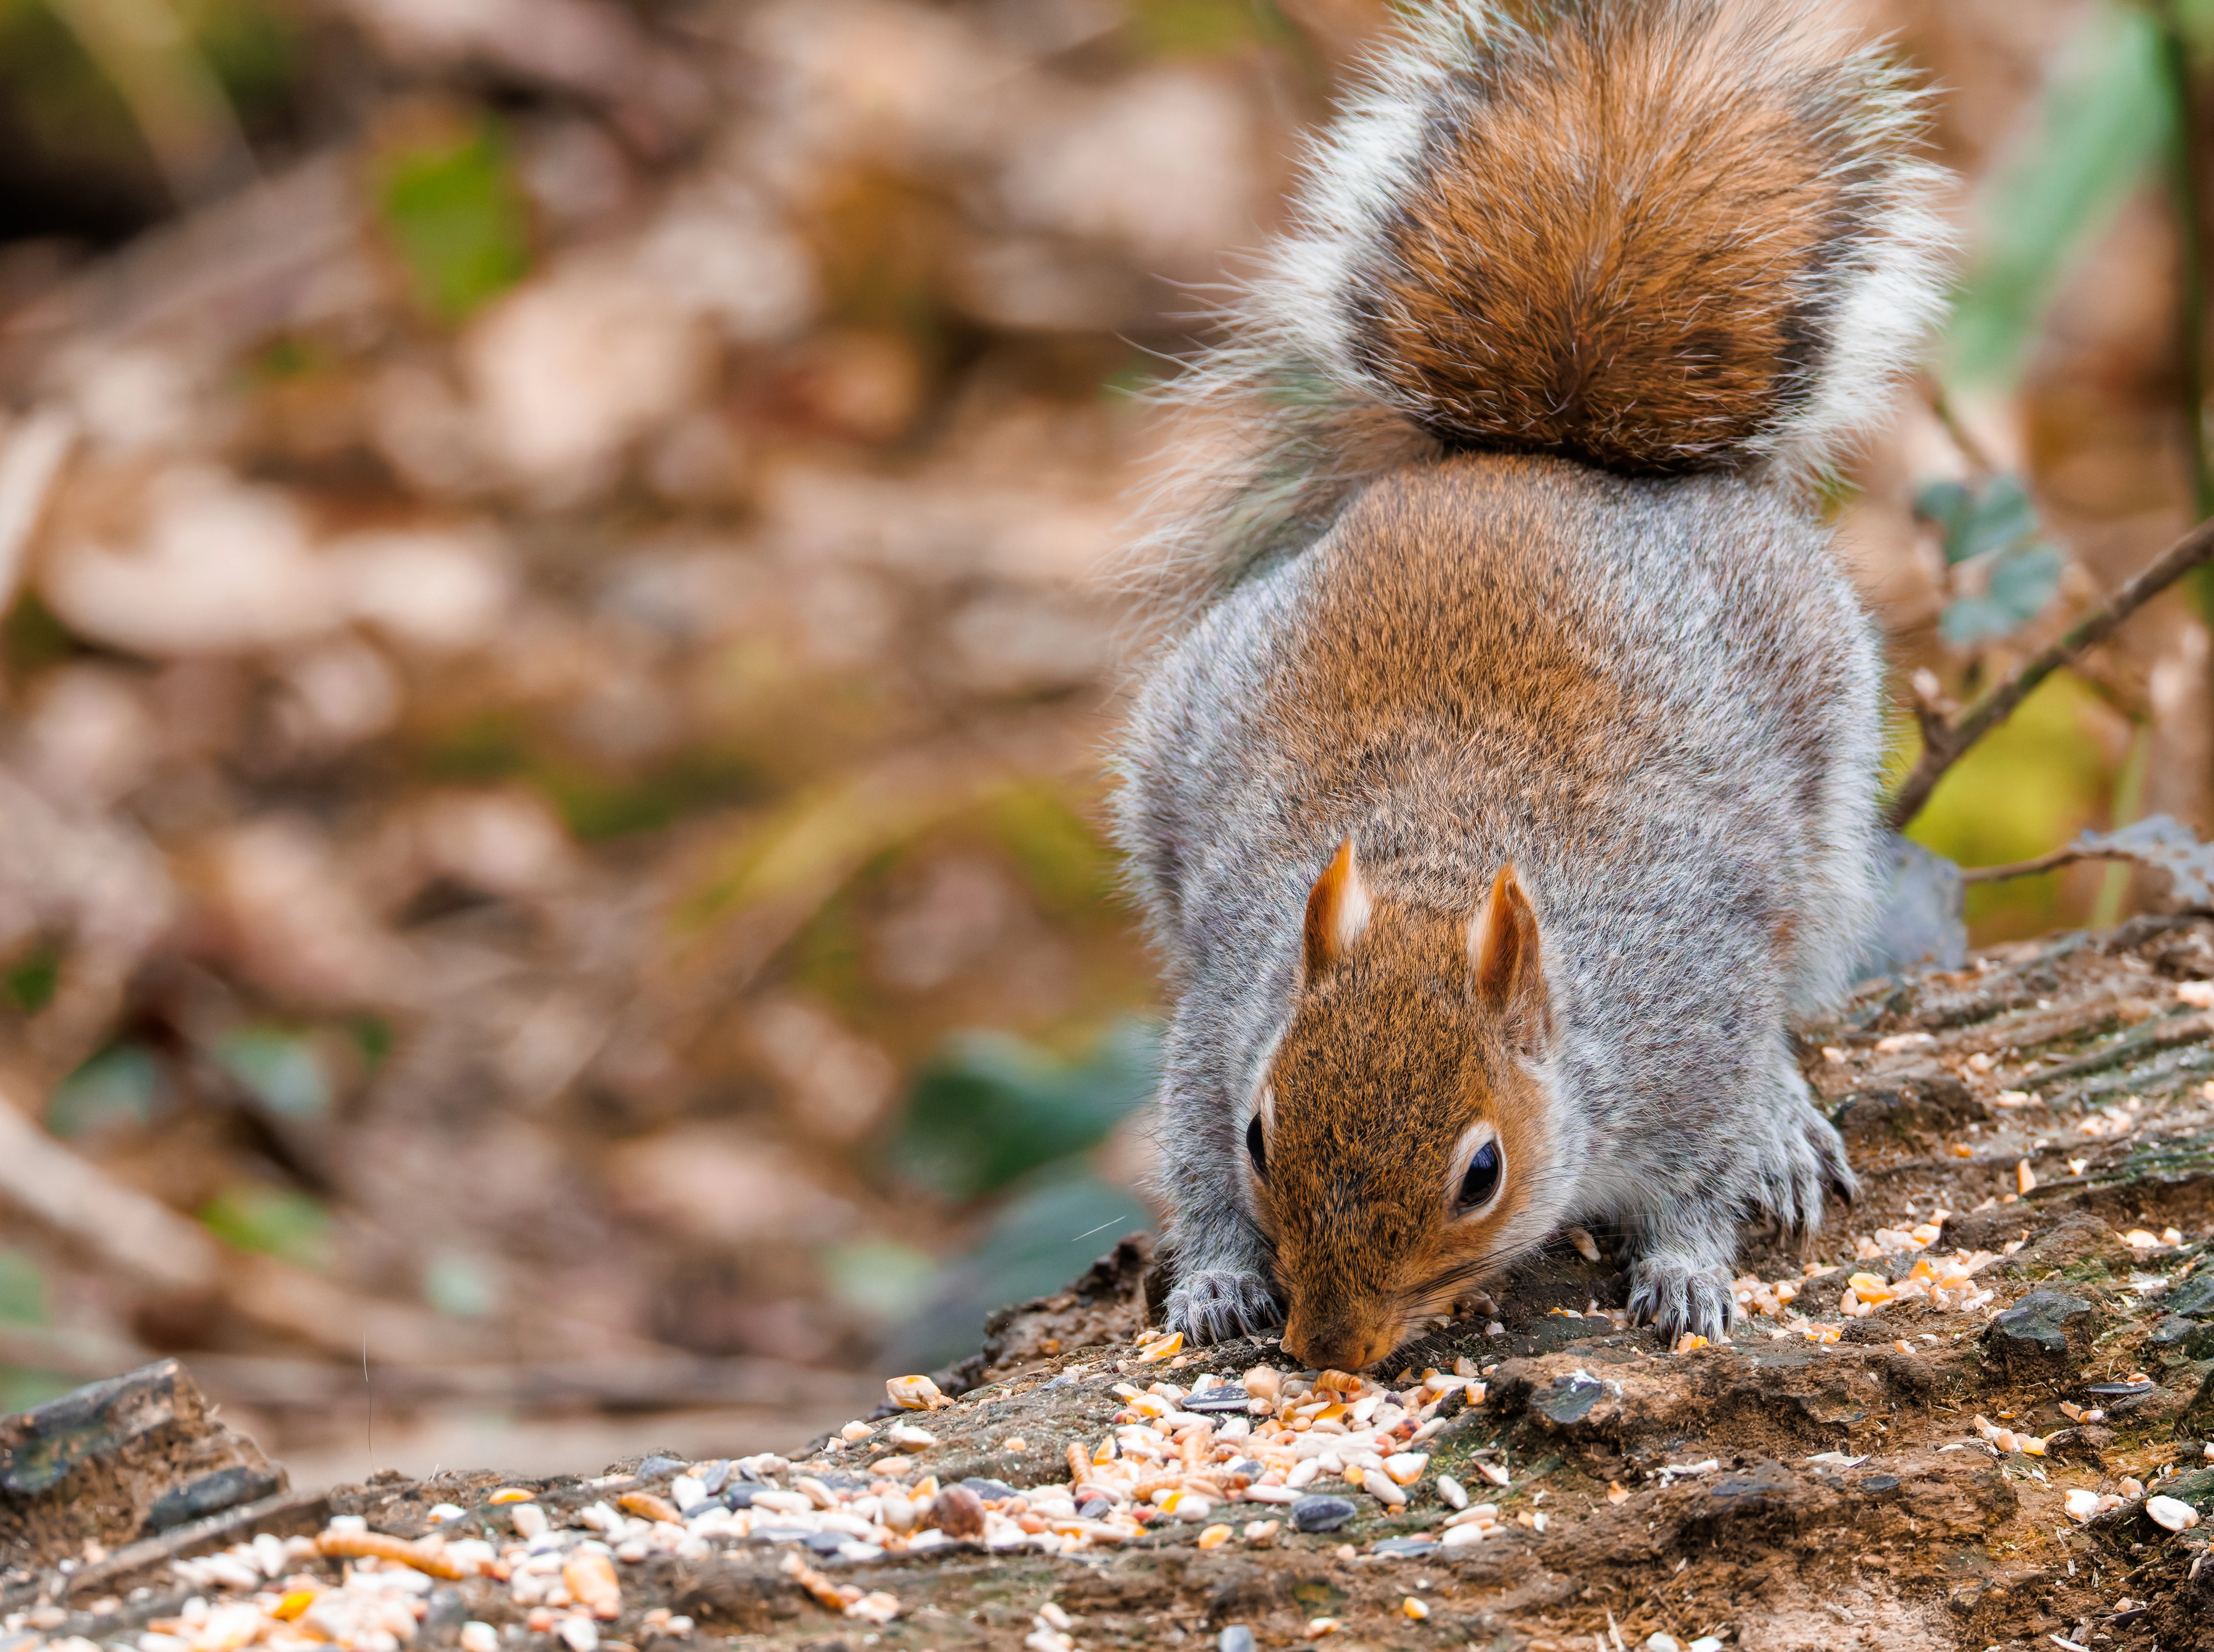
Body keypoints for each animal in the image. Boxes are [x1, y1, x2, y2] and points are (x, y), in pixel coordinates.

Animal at [1110, 0, 1952, 1370]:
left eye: (1480, 1173)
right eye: (1261, 1134)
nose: (1330, 1346)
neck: (1441, 872)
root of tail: (1530, 463)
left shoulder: (1686, 1018)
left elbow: (1703, 1168)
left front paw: (1689, 1269)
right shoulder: (1226, 1010)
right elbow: (1187, 1150)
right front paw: (1219, 1279)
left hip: (1828, 813)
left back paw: (1784, 1119)